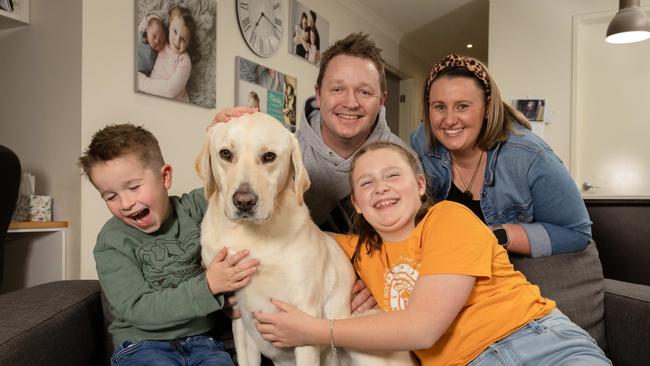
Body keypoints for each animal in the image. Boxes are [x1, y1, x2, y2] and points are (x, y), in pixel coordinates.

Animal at [195, 112, 412, 366]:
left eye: (269, 156)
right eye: (225, 154)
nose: (244, 202)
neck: (252, 238)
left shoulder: (302, 323)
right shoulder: (242, 326)